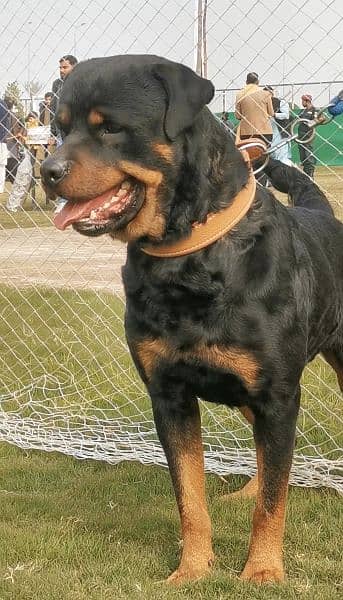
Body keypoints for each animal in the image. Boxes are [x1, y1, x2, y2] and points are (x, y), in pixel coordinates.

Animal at [41, 55, 343, 580]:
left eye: (110, 128)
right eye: (60, 129)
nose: (46, 170)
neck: (188, 260)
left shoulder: (278, 394)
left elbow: (272, 503)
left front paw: (262, 571)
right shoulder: (170, 397)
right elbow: (190, 496)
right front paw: (193, 568)